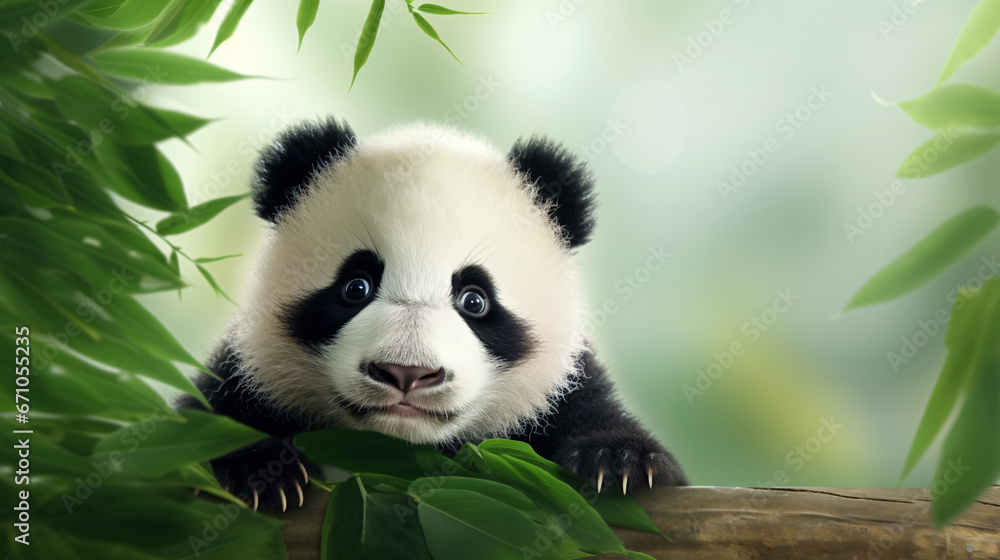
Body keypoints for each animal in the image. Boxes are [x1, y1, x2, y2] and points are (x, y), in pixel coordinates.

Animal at [179, 117, 686, 511]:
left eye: (475, 300)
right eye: (356, 287)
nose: (406, 373)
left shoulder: (559, 390)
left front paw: (618, 462)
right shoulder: (249, 371)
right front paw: (258, 468)